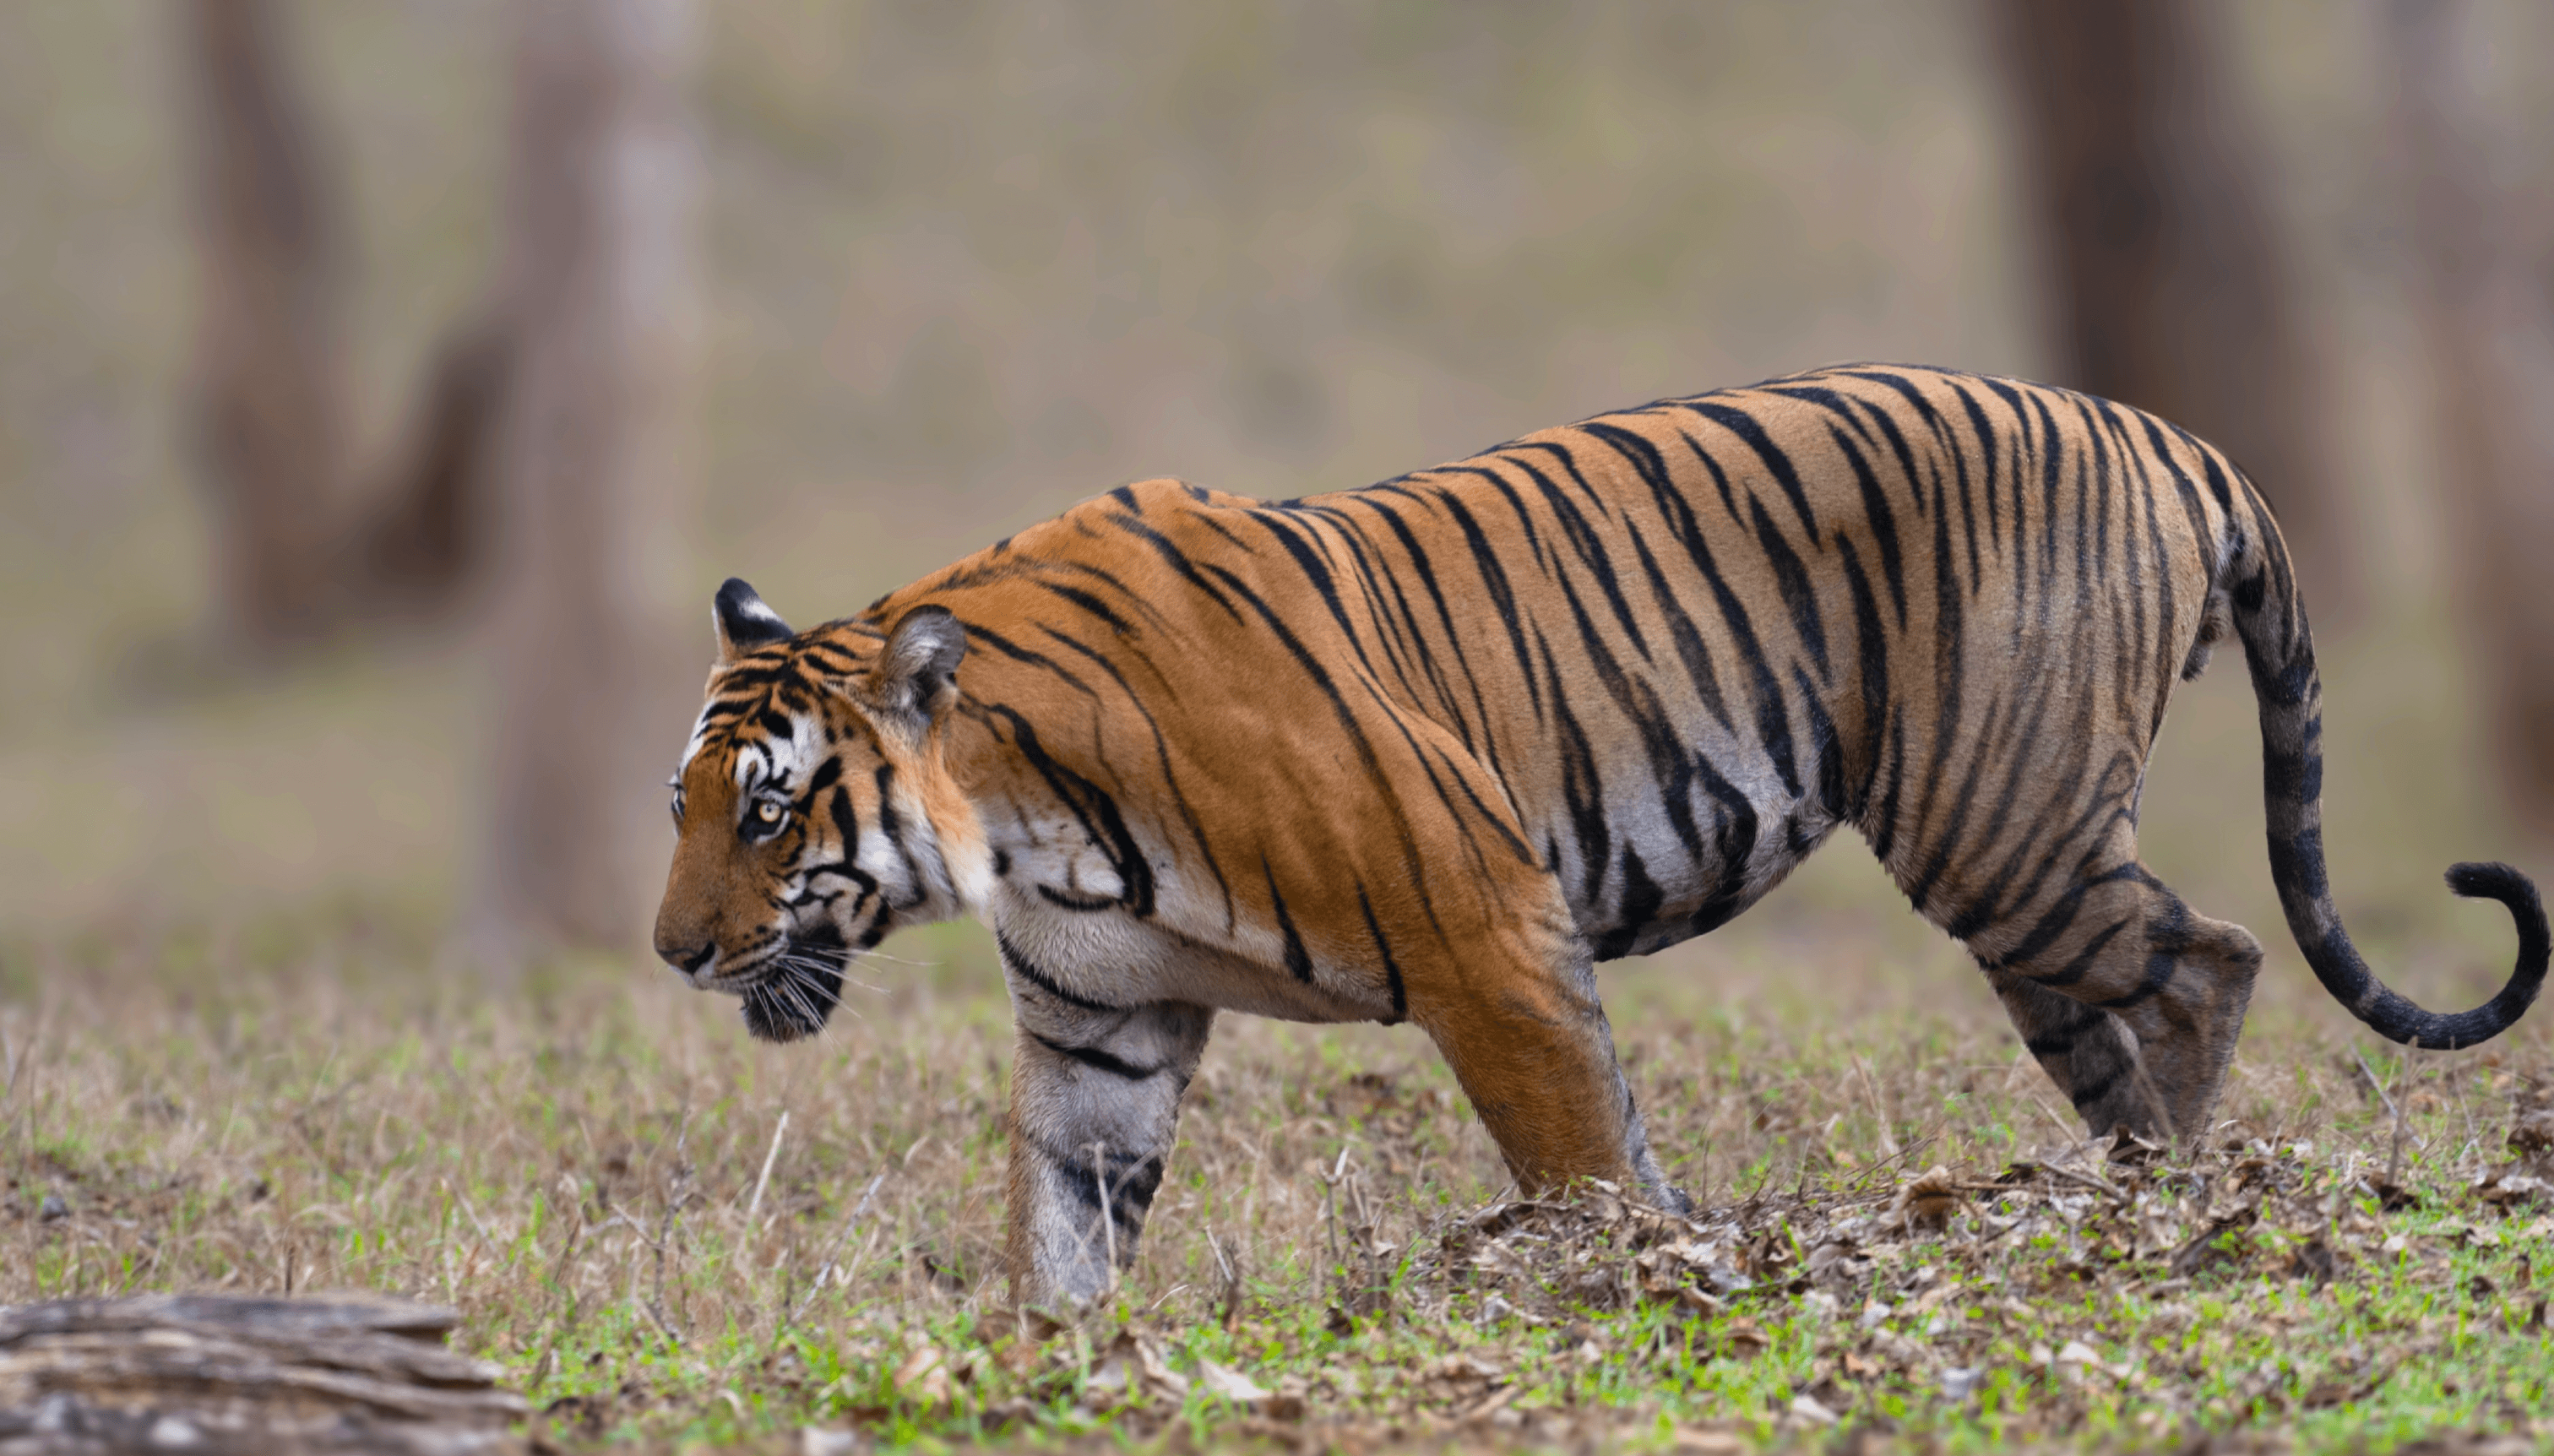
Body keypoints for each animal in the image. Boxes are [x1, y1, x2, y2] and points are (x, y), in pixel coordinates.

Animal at [652, 363, 2547, 1307]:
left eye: (769, 809)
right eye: (677, 806)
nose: (675, 951)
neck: (1016, 822)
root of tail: (2164, 429)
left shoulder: (1482, 920)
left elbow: (1578, 1158)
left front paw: (1630, 1282)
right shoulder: (1099, 1020)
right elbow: (1064, 1221)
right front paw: (1051, 1365)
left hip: (2000, 827)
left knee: (2209, 958)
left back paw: (2166, 1203)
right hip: (2023, 888)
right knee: (2136, 1008)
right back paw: (2120, 1192)